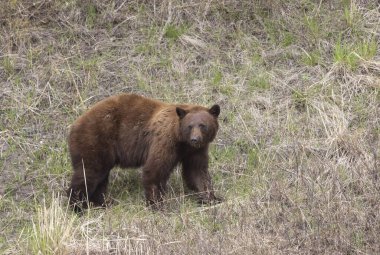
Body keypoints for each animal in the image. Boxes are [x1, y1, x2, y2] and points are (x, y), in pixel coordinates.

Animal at [68, 93, 221, 211]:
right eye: (190, 126)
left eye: (203, 125)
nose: (195, 139)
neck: (181, 140)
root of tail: (75, 123)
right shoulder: (165, 141)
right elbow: (155, 169)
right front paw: (157, 204)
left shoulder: (195, 151)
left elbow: (197, 172)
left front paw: (211, 198)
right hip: (95, 139)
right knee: (89, 173)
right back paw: (77, 206)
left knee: (100, 178)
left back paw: (102, 203)